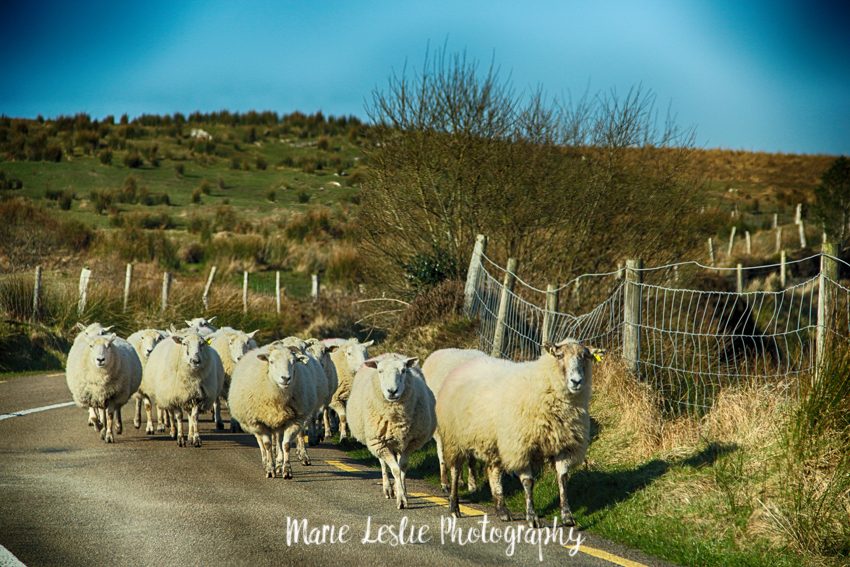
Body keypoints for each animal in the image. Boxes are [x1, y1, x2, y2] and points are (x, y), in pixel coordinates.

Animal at [227, 342, 316, 480]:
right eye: (272, 362)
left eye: (293, 362)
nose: (286, 378)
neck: (278, 396)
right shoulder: (259, 422)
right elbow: (267, 445)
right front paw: (270, 470)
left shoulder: (294, 420)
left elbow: (286, 445)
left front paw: (286, 470)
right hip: (255, 423)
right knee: (261, 443)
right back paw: (266, 463)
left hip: (278, 422)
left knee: (278, 441)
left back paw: (278, 464)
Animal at [346, 356, 434, 510]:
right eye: (380, 371)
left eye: (403, 370)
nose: (392, 391)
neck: (396, 418)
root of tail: (388, 354)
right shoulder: (380, 442)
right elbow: (395, 470)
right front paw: (401, 499)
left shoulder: (410, 443)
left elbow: (402, 468)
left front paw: (402, 492)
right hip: (379, 443)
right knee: (383, 464)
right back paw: (388, 488)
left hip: (398, 442)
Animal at [434, 338, 600, 528]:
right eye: (559, 356)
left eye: (585, 356)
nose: (576, 381)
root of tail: (464, 365)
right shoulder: (520, 446)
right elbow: (528, 482)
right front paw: (532, 517)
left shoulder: (565, 446)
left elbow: (563, 478)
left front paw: (567, 516)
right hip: (455, 438)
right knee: (455, 469)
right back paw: (454, 506)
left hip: (495, 441)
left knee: (493, 471)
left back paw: (502, 510)